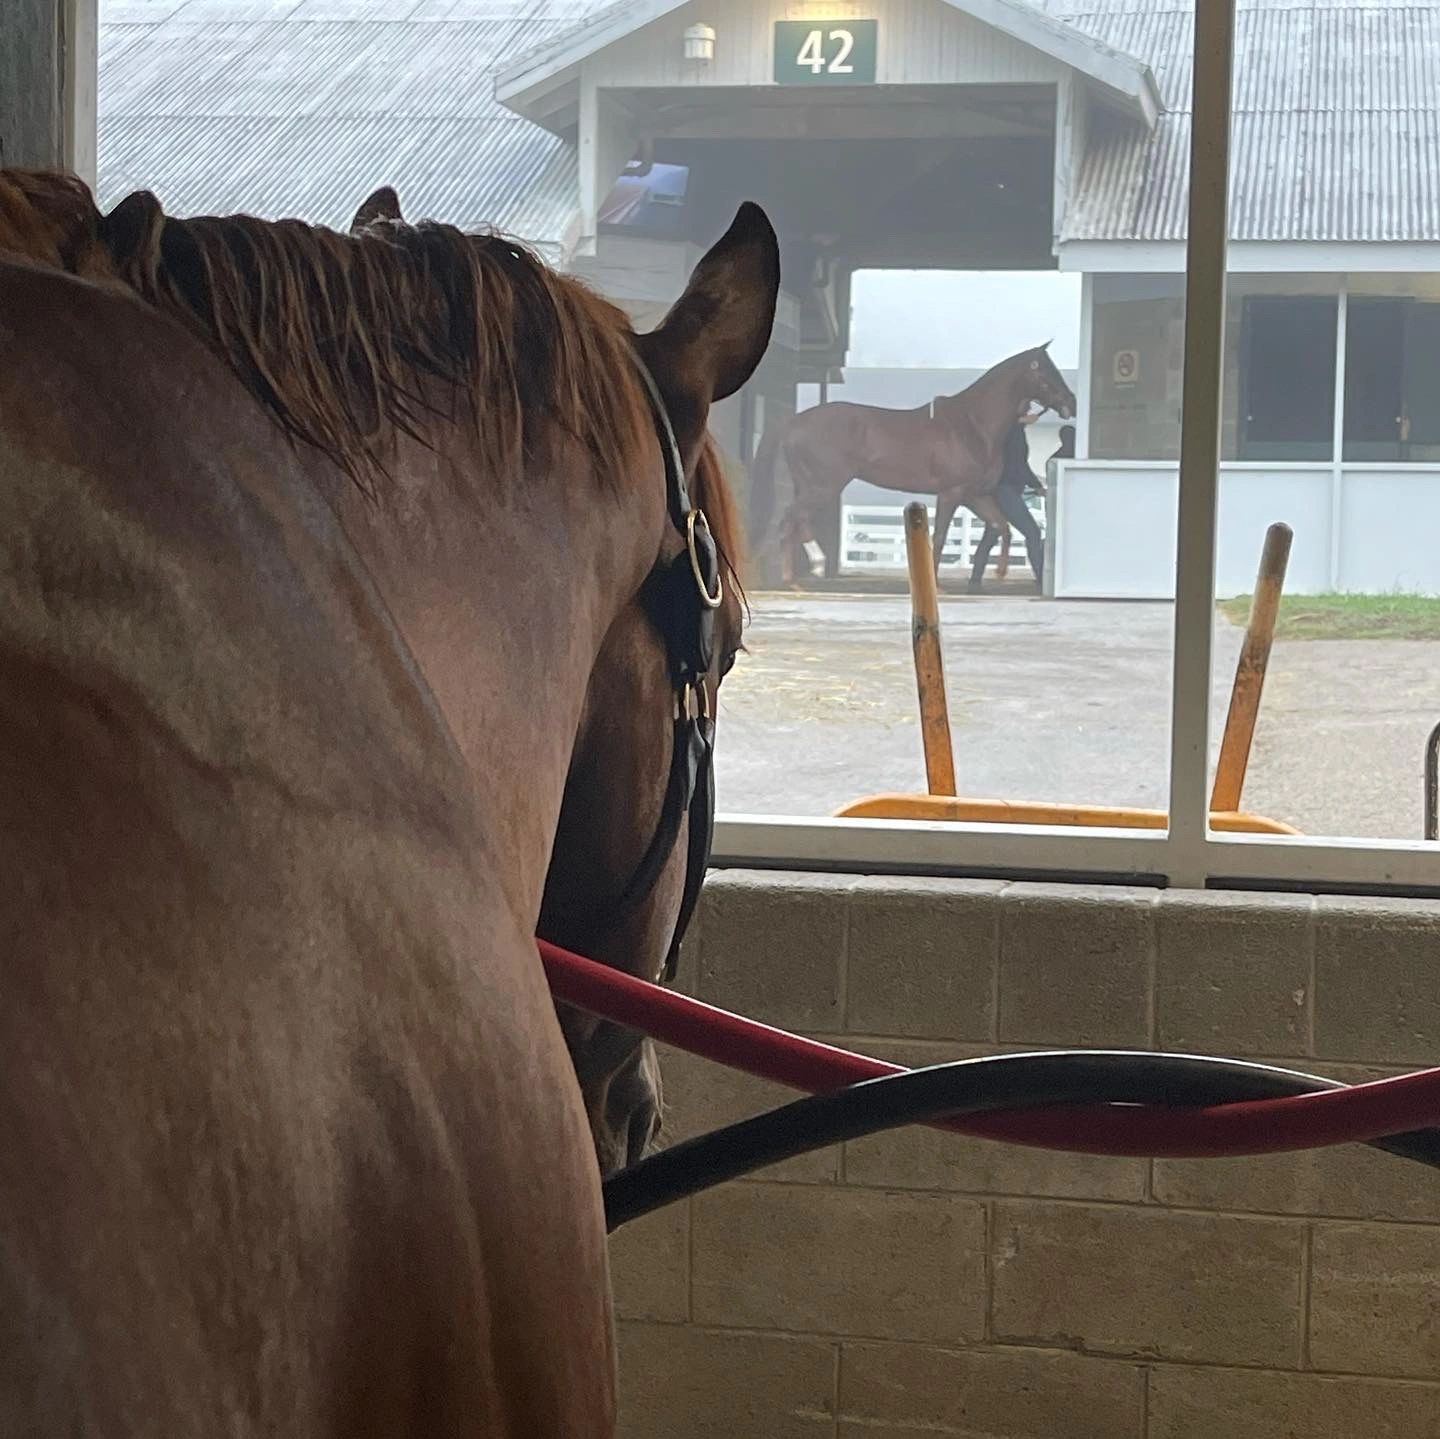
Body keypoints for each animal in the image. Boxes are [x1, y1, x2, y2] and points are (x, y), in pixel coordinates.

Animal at [749, 344, 1076, 583]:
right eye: (1046, 372)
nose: (1071, 403)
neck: (972, 425)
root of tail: (794, 421)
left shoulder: (975, 495)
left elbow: (1002, 527)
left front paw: (999, 572)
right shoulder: (951, 493)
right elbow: (940, 538)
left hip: (811, 485)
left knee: (799, 520)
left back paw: (814, 567)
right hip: (822, 486)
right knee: (789, 520)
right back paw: (792, 578)